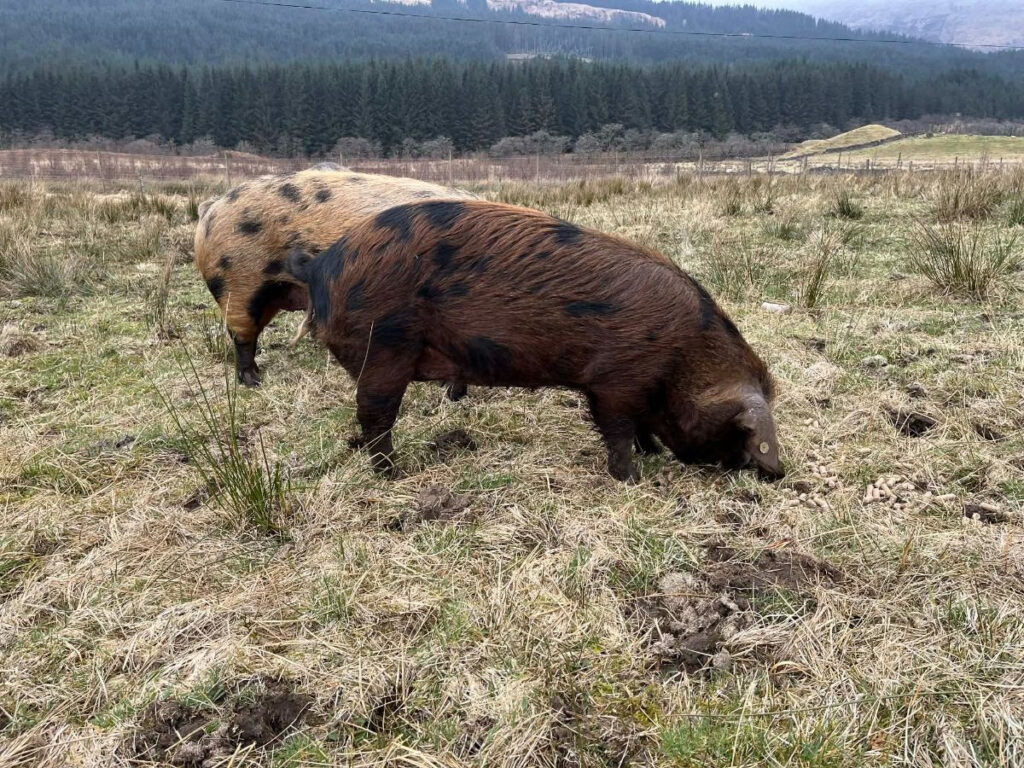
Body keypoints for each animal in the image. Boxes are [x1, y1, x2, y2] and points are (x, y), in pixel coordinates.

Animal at [284, 200, 784, 482]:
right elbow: (618, 431)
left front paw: (653, 452)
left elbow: (640, 428)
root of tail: (323, 263)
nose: (774, 475)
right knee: (374, 417)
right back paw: (393, 475)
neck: (684, 356)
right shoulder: (615, 381)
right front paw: (633, 479)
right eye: (741, 430)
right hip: (385, 347)